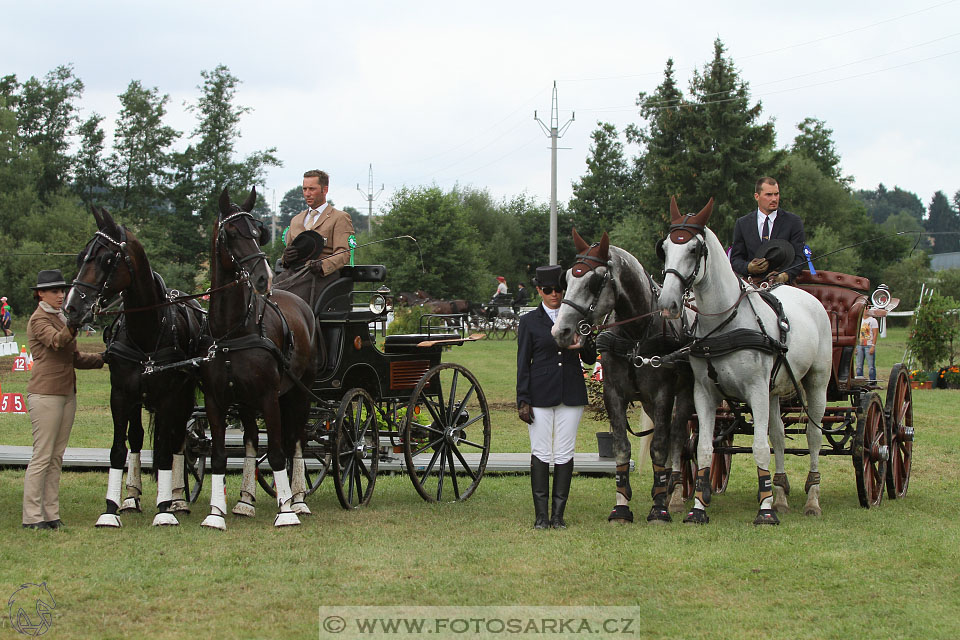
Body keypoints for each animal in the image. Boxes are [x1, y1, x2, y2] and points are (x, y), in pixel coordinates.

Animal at [62, 205, 204, 524]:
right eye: (81, 256)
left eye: (107, 259)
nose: (72, 308)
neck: (148, 330)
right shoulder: (120, 395)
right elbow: (119, 449)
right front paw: (111, 508)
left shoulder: (168, 398)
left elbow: (164, 452)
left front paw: (165, 509)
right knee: (138, 438)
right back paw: (131, 496)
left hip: (183, 398)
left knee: (178, 440)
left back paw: (177, 498)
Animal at [201, 188, 320, 528]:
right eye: (230, 232)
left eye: (257, 232)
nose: (263, 278)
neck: (233, 331)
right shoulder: (216, 400)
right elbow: (219, 455)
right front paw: (216, 513)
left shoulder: (268, 396)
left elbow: (279, 452)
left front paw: (286, 511)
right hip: (248, 401)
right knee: (253, 440)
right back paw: (246, 500)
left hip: (299, 392)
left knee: (297, 440)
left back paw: (298, 499)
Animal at [660, 199, 832, 524]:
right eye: (664, 247)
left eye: (694, 249)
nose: (667, 304)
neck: (725, 324)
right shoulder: (705, 393)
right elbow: (704, 448)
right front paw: (697, 509)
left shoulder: (755, 390)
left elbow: (759, 448)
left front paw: (764, 512)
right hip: (774, 390)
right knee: (779, 435)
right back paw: (780, 496)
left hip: (817, 382)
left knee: (814, 436)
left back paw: (813, 500)